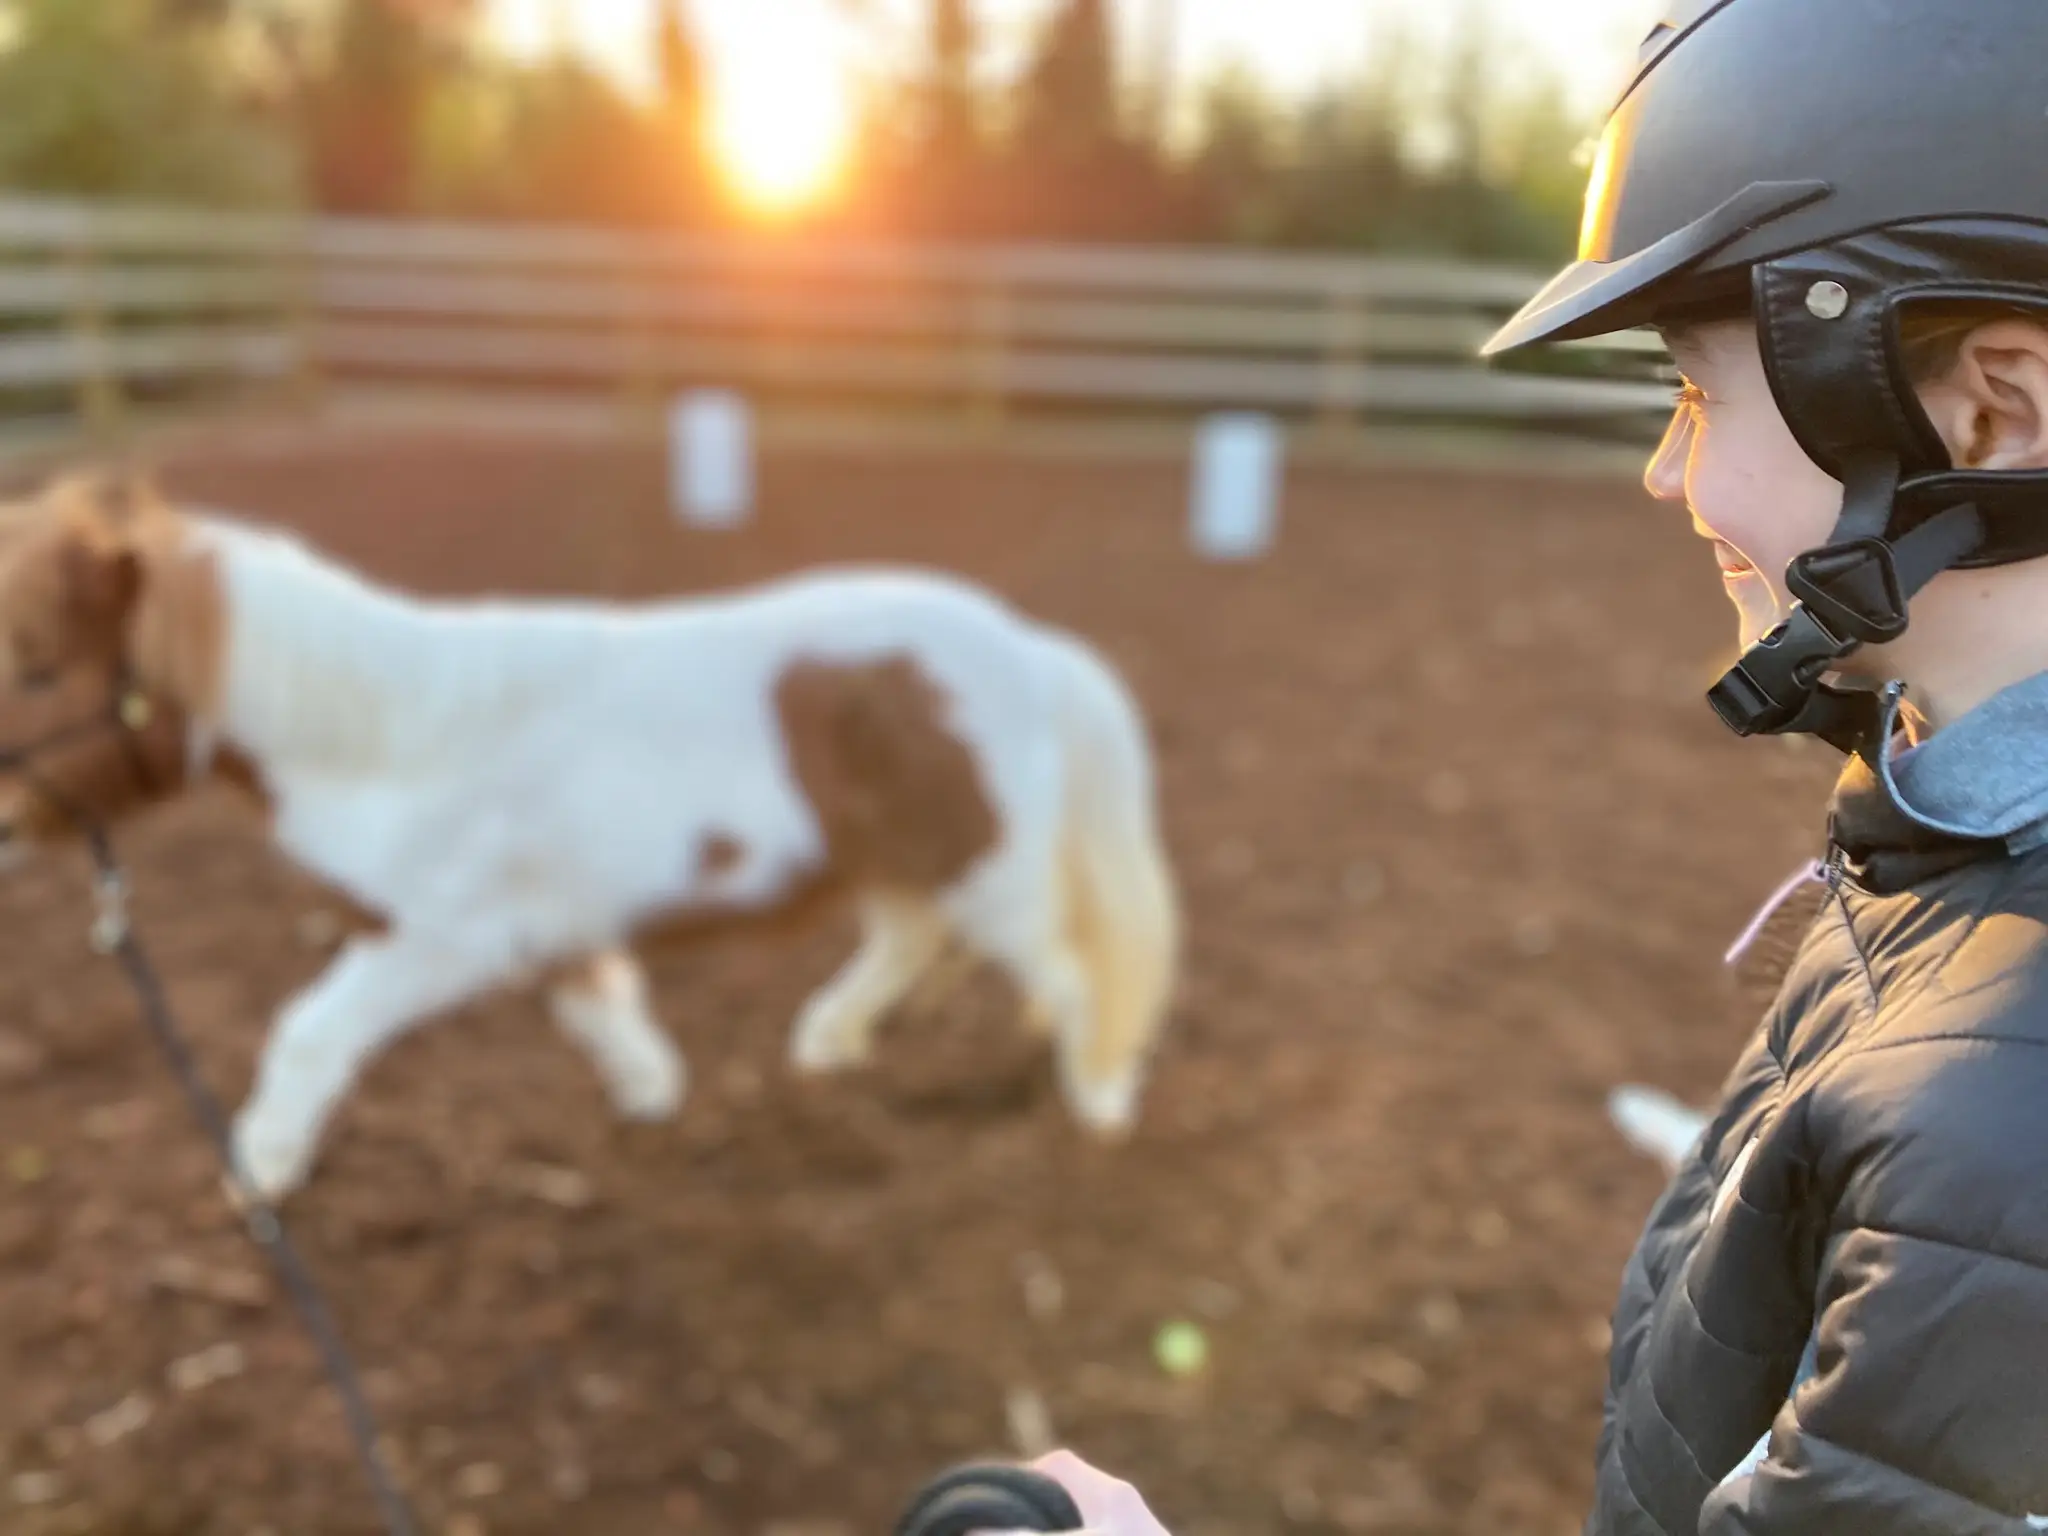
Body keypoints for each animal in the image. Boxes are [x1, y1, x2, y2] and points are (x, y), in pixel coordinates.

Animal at [0, 472, 1180, 1202]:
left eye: (41, 670)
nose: (3, 821)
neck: (395, 738)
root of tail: (1027, 647)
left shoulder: (441, 942)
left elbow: (309, 1033)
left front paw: (258, 1170)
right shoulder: (548, 930)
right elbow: (601, 1008)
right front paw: (653, 1097)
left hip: (986, 873)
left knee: (1069, 976)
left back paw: (1100, 1104)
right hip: (893, 862)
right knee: (905, 944)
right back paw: (825, 1047)